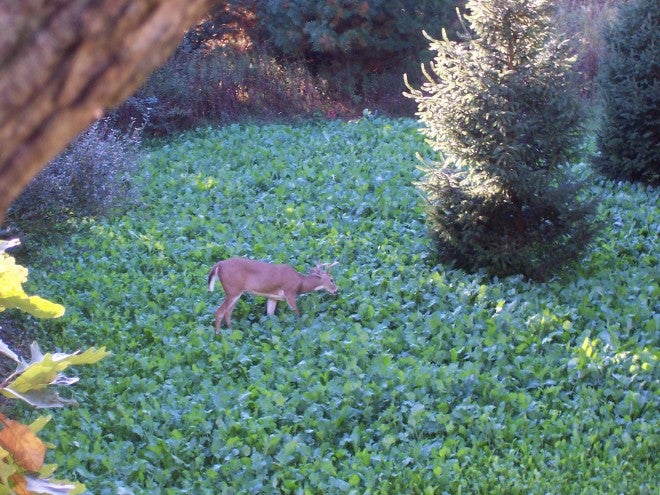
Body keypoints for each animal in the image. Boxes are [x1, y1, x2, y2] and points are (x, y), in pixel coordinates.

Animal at [208, 258, 340, 332]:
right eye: (332, 280)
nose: (336, 290)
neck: (300, 283)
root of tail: (218, 265)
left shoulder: (272, 297)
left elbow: (270, 316)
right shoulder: (290, 292)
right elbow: (297, 313)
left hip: (236, 292)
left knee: (228, 312)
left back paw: (231, 331)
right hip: (233, 290)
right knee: (219, 312)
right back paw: (218, 334)